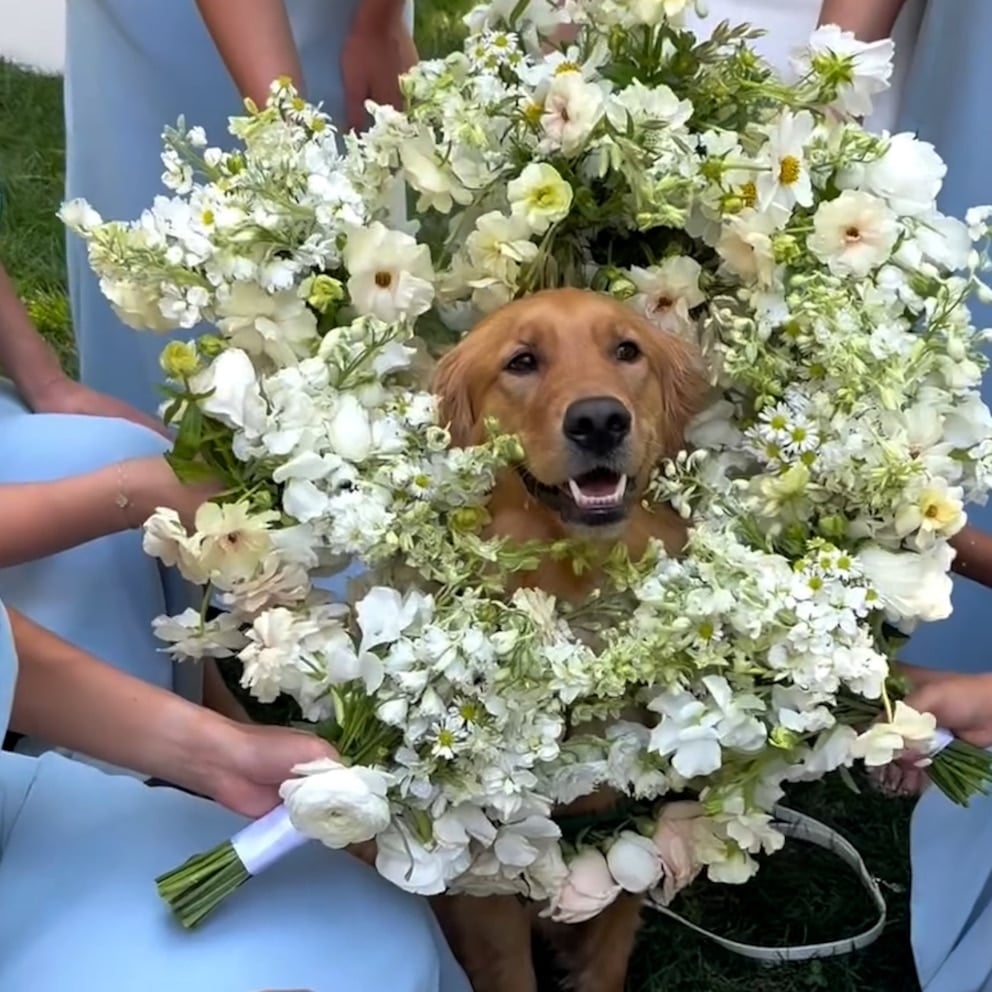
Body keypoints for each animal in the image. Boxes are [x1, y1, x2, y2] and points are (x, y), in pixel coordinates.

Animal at [430, 288, 708, 992]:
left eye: (626, 350)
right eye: (522, 361)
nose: (600, 421)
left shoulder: (628, 838)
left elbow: (605, 961)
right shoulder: (487, 880)